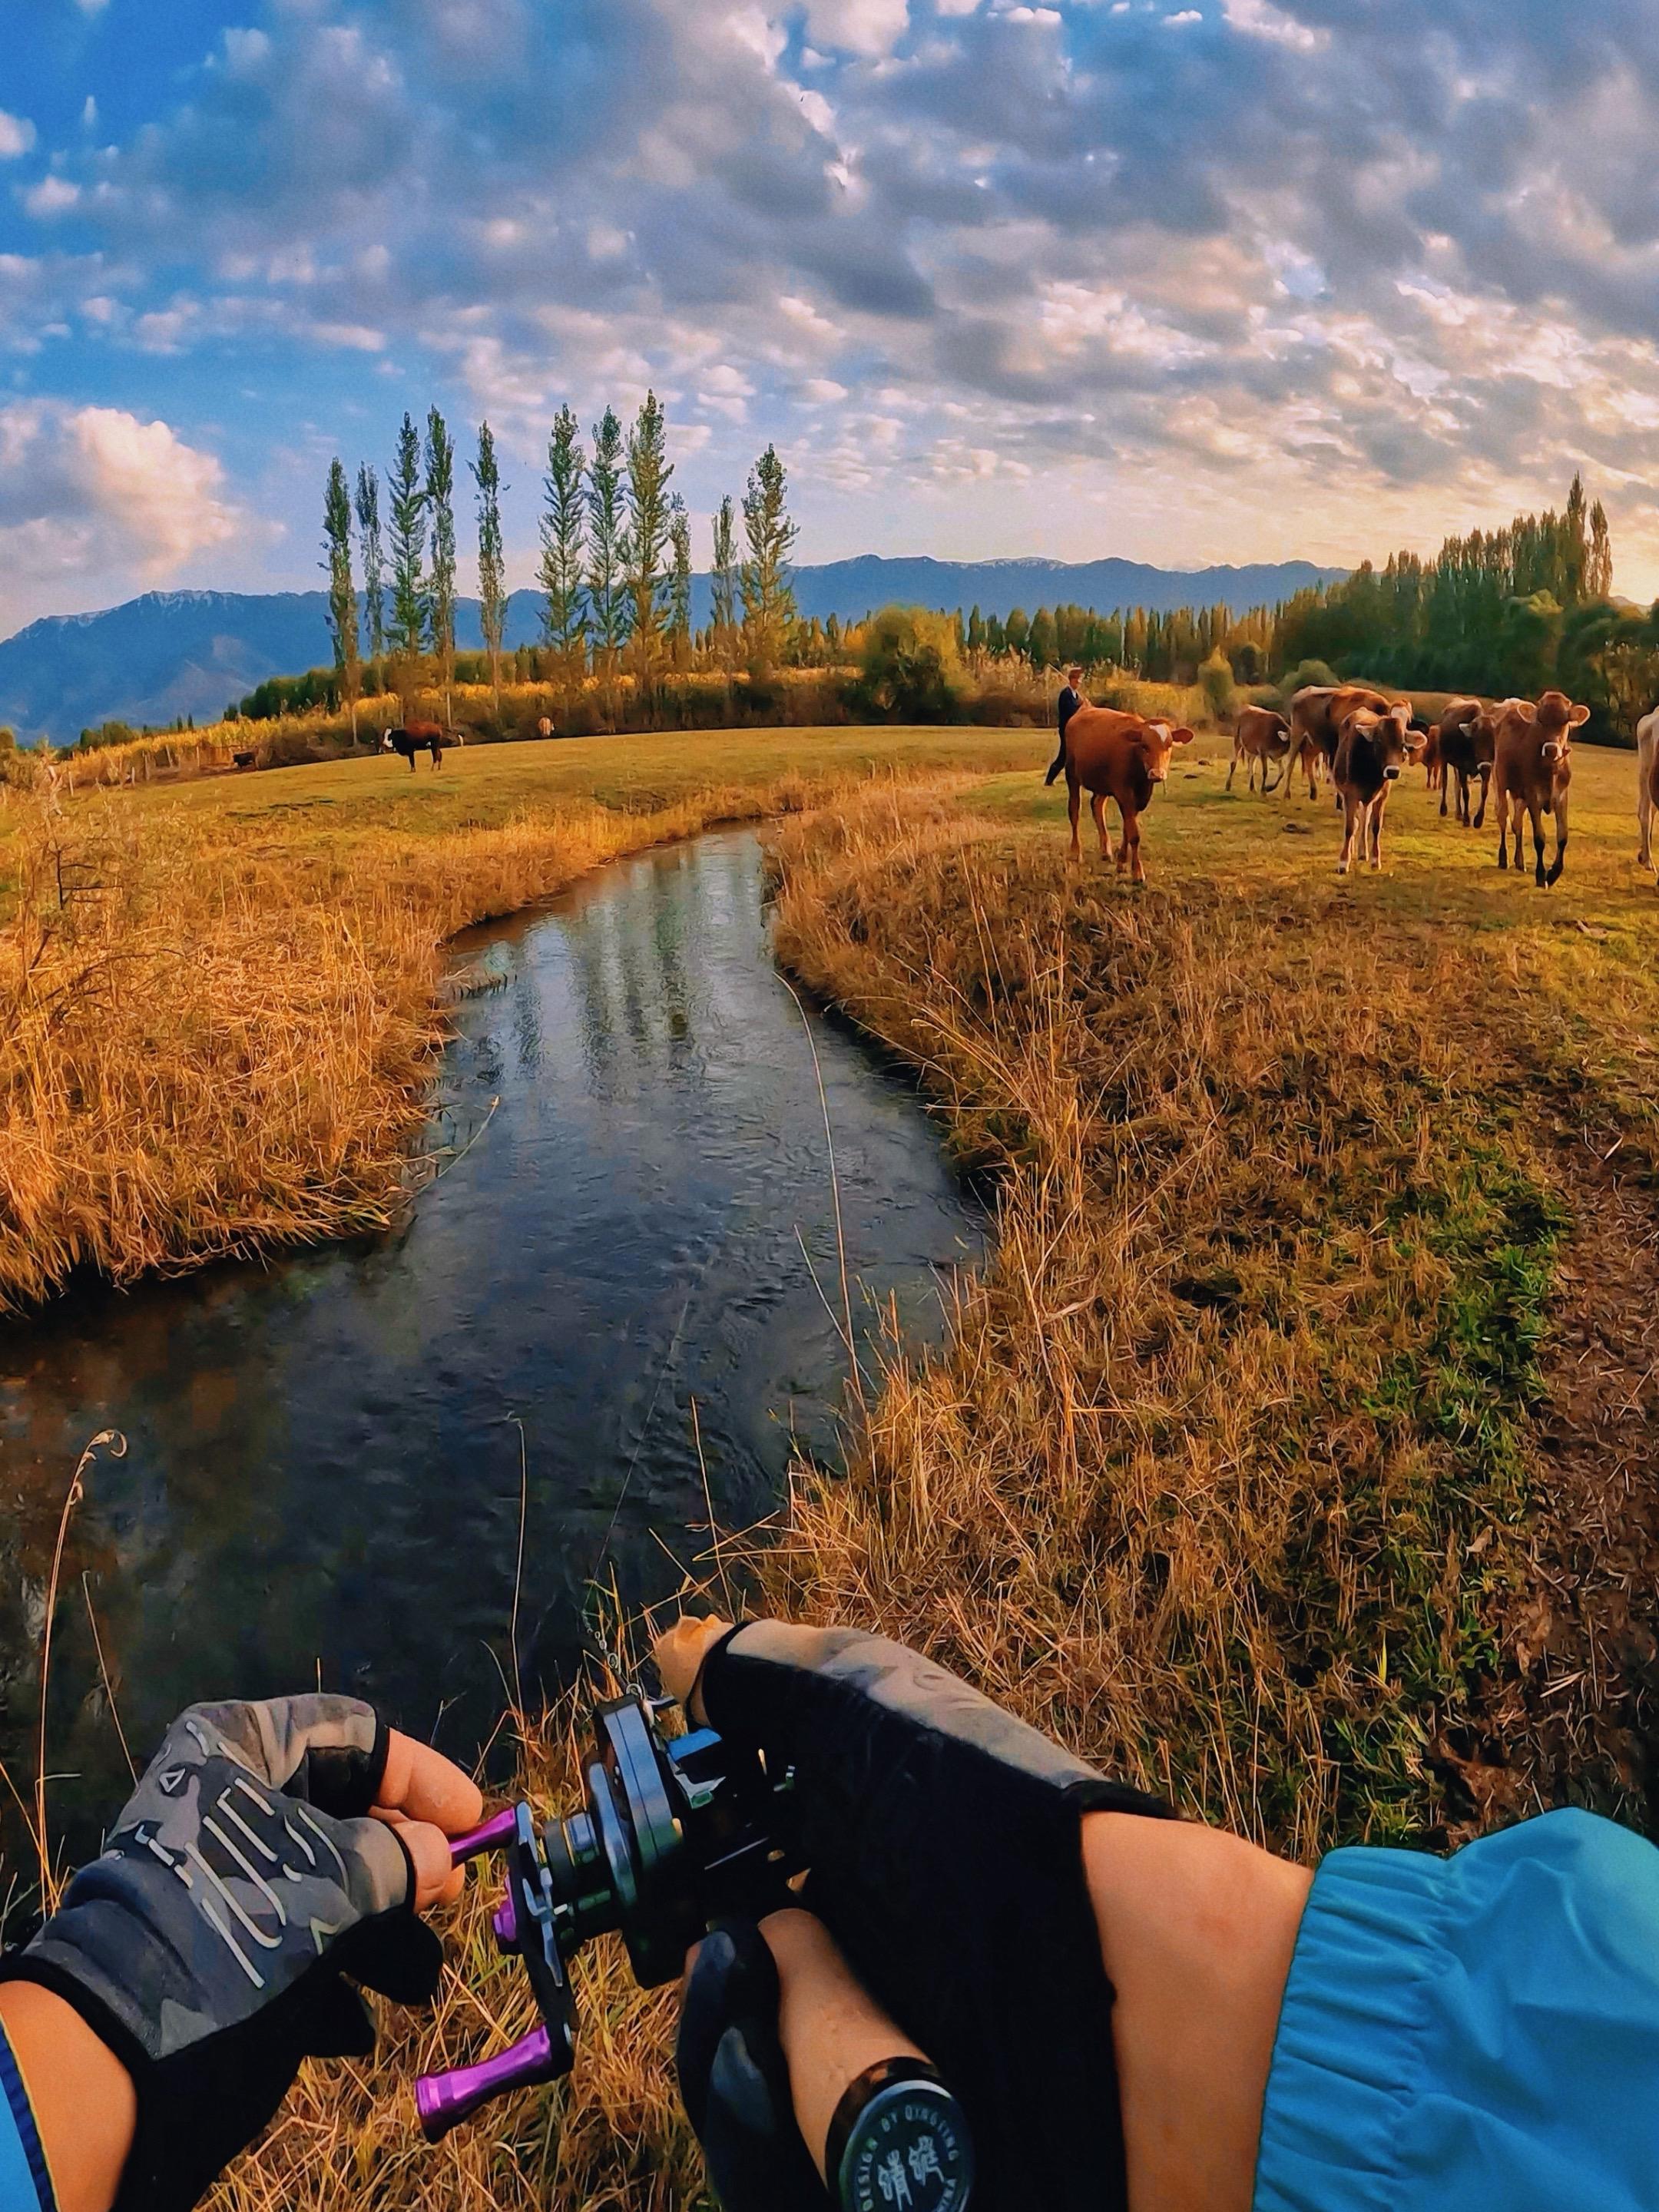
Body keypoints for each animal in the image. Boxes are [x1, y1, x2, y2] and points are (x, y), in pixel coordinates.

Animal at [1060, 705, 1195, 880]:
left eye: (1169, 745)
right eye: (1144, 746)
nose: (1157, 774)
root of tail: (1086, 708)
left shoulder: (1138, 798)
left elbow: (1127, 828)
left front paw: (1122, 862)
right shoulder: (1124, 793)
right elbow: (1134, 834)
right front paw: (1137, 872)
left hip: (1103, 784)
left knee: (1097, 806)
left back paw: (1105, 851)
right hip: (1072, 775)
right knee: (1074, 811)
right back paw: (1076, 853)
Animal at [1333, 703, 1419, 875]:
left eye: (1403, 744)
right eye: (1379, 742)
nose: (1392, 771)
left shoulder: (1382, 795)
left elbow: (1375, 826)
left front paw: (1375, 859)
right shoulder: (1350, 794)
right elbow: (1350, 827)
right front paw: (1343, 862)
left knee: (1365, 819)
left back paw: (1362, 852)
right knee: (1355, 821)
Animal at [1433, 697, 1496, 828]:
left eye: (1493, 742)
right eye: (1478, 741)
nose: (1486, 766)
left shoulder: (1486, 770)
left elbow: (1484, 792)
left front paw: (1478, 819)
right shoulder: (1463, 769)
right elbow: (1466, 793)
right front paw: (1467, 819)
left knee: (1457, 785)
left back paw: (1459, 813)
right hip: (1444, 759)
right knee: (1445, 782)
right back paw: (1444, 809)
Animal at [1492, 690, 1588, 886]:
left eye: (1565, 721)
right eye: (1540, 721)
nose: (1551, 749)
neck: (1550, 769)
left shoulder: (1561, 795)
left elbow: (1563, 836)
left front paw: (1554, 873)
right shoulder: (1532, 795)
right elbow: (1539, 837)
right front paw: (1540, 874)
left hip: (1519, 796)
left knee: (1517, 824)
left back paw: (1520, 862)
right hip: (1501, 782)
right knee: (1503, 818)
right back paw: (1503, 859)